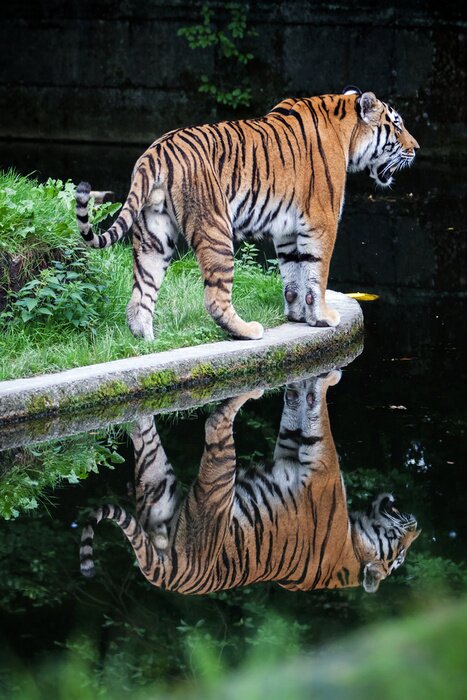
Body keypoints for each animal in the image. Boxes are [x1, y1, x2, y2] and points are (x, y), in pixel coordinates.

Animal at [75, 87, 419, 341]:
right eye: (397, 125)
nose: (416, 148)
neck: (347, 132)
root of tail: (155, 151)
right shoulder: (322, 220)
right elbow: (316, 272)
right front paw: (322, 317)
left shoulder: (287, 229)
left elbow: (292, 272)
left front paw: (297, 315)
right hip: (215, 228)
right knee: (215, 298)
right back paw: (247, 330)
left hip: (153, 233)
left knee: (141, 292)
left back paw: (145, 339)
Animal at [80, 372, 420, 594]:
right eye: (400, 552)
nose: (416, 526)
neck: (353, 546)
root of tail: (167, 577)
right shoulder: (295, 450)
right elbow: (299, 404)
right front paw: (322, 378)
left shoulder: (322, 464)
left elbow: (314, 409)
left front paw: (325, 379)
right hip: (159, 481)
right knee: (141, 426)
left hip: (215, 487)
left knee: (213, 422)